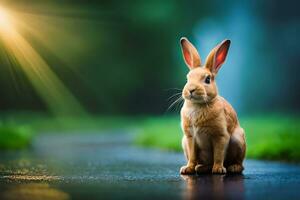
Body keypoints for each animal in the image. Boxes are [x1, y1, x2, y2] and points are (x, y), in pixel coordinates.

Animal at [178, 37, 246, 175]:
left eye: (208, 79)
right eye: (188, 78)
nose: (191, 90)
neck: (198, 105)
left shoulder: (220, 136)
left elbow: (219, 154)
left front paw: (218, 169)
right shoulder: (190, 138)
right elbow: (192, 156)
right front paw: (187, 169)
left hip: (238, 140)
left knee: (240, 164)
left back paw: (232, 168)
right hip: (184, 142)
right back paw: (200, 168)